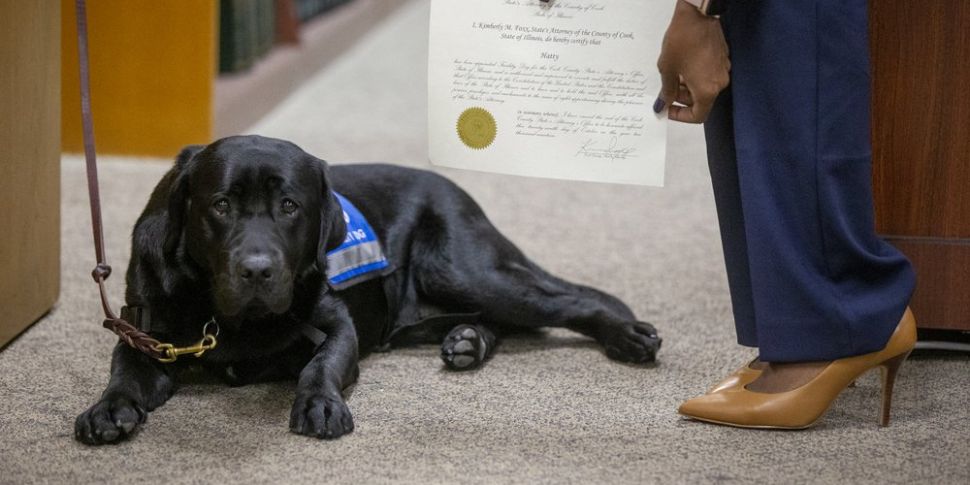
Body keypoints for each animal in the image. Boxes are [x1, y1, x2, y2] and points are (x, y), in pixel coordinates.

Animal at [73, 135, 656, 442]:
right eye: (220, 205)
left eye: (290, 206)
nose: (258, 270)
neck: (230, 316)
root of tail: (458, 190)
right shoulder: (146, 333)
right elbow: (124, 369)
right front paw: (109, 408)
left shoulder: (336, 327)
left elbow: (320, 365)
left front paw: (319, 404)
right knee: (501, 321)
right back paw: (469, 341)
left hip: (464, 268)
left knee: (567, 302)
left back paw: (628, 336)